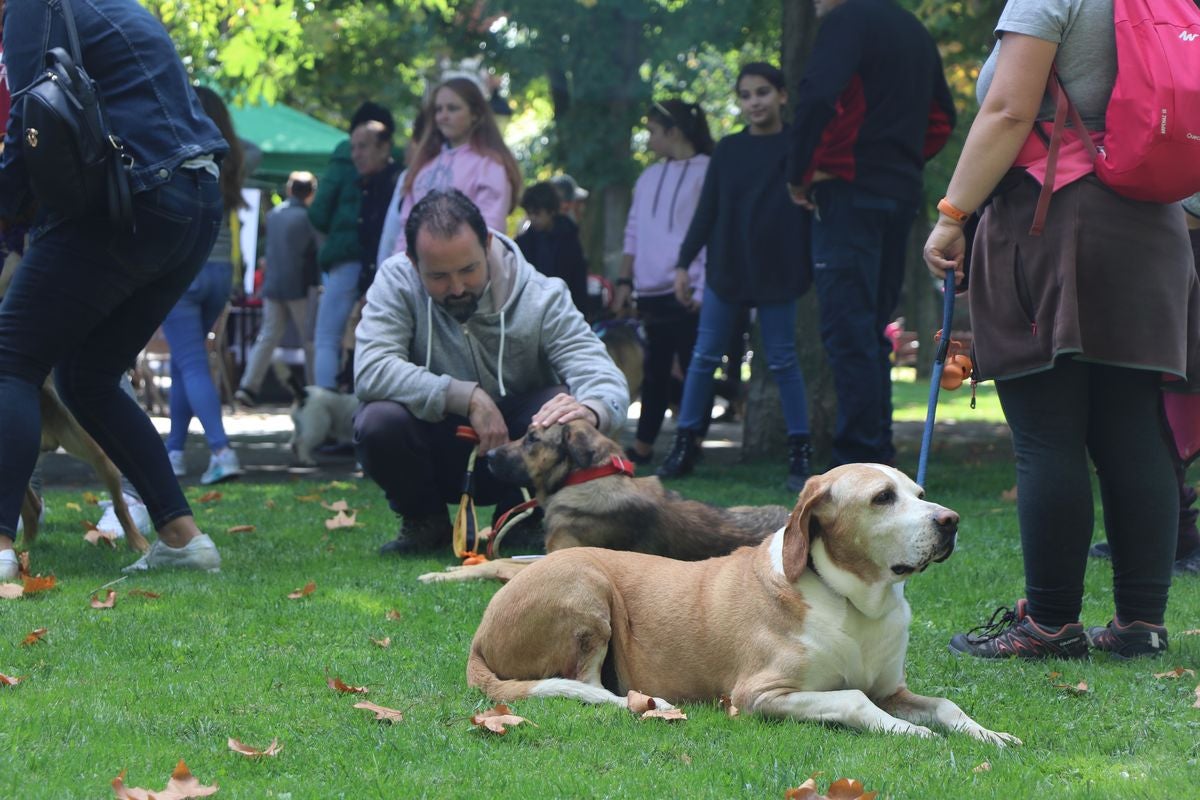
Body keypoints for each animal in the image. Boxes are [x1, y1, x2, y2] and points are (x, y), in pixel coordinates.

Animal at [417, 419, 792, 582]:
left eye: (532, 439)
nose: (489, 455)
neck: (587, 477)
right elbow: (503, 559)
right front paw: (457, 565)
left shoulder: (559, 556)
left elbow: (497, 564)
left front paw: (439, 574)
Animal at [468, 462, 1022, 743]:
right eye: (883, 498)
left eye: (919, 493)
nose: (950, 521)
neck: (854, 601)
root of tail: (477, 638)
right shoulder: (760, 694)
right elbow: (852, 699)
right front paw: (909, 732)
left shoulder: (894, 689)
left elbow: (946, 705)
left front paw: (989, 734)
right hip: (585, 583)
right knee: (589, 688)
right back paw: (649, 702)